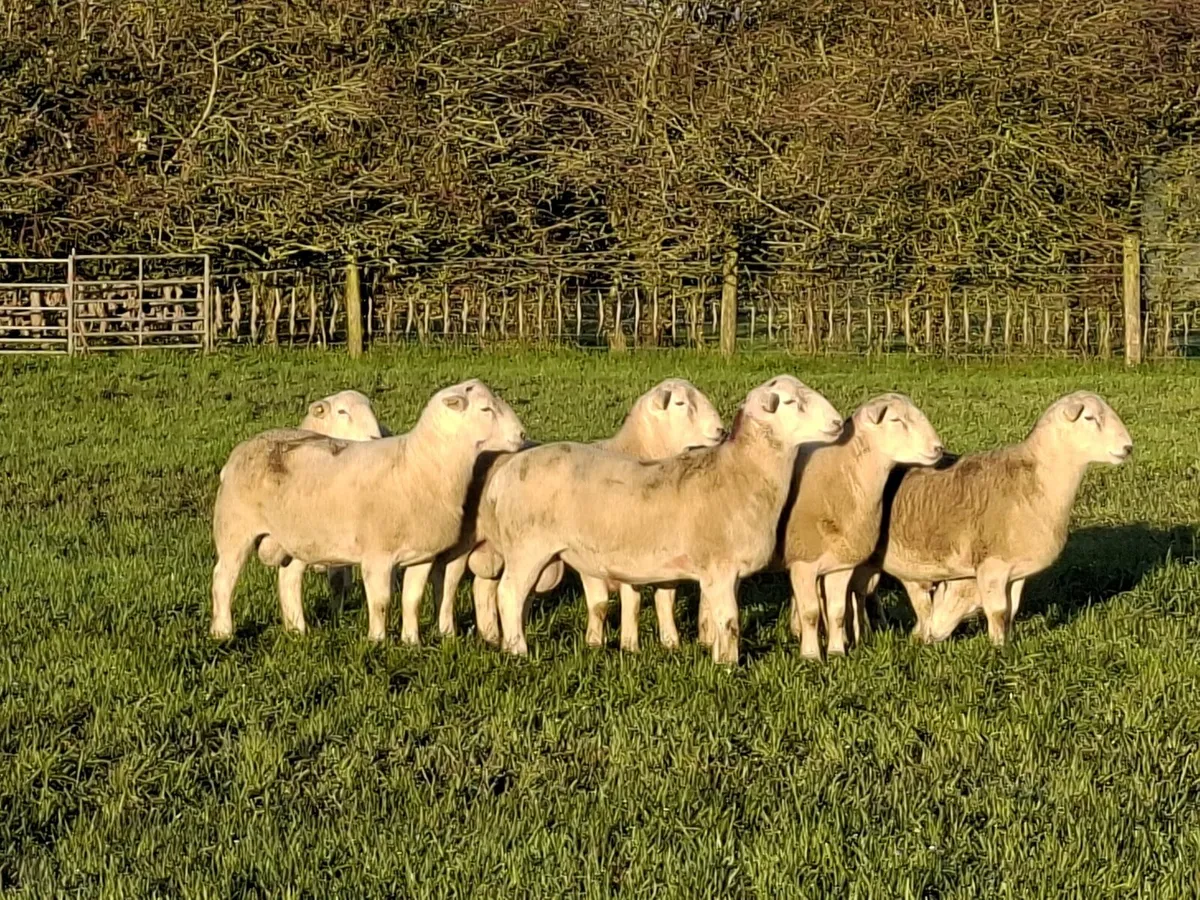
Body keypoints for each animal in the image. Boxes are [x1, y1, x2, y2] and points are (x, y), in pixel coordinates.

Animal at [428, 378, 726, 651]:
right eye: (680, 403)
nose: (721, 431)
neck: (637, 451)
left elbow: (663, 599)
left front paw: (669, 643)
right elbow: (617, 602)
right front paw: (622, 646)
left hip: (496, 547)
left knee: (484, 587)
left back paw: (491, 636)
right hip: (475, 544)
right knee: (453, 580)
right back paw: (455, 634)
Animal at [483, 375, 843, 664]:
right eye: (792, 402)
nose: (839, 423)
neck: (740, 473)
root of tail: (504, 475)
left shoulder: (722, 574)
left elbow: (716, 618)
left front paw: (716, 656)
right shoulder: (721, 566)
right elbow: (729, 621)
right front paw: (728, 666)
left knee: (520, 597)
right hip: (528, 547)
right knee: (509, 594)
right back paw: (518, 651)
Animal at [769, 393, 943, 661]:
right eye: (895, 419)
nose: (938, 448)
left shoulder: (842, 563)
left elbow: (837, 610)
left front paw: (836, 651)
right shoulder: (803, 562)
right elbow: (811, 612)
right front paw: (811, 656)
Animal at [850, 390, 1132, 646]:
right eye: (1090, 417)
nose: (1128, 448)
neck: (1035, 482)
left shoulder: (1016, 572)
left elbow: (1011, 610)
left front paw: (1008, 642)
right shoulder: (992, 566)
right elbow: (997, 611)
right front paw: (998, 650)